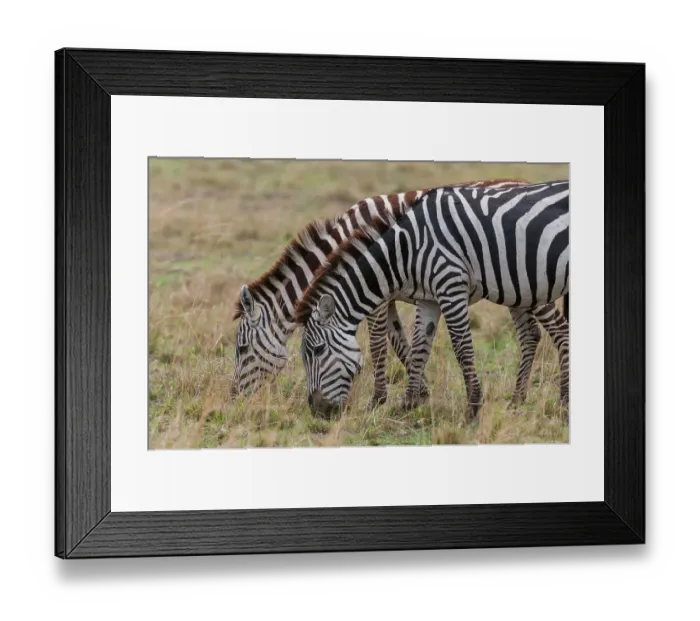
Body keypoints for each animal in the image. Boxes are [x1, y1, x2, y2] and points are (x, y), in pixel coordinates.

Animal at [230, 179, 551, 408]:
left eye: (241, 349)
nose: (234, 399)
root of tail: (522, 181)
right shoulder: (386, 295)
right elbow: (399, 341)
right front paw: (419, 393)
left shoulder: (377, 295)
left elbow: (378, 344)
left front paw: (379, 399)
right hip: (515, 291)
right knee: (531, 334)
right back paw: (520, 398)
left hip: (530, 282)